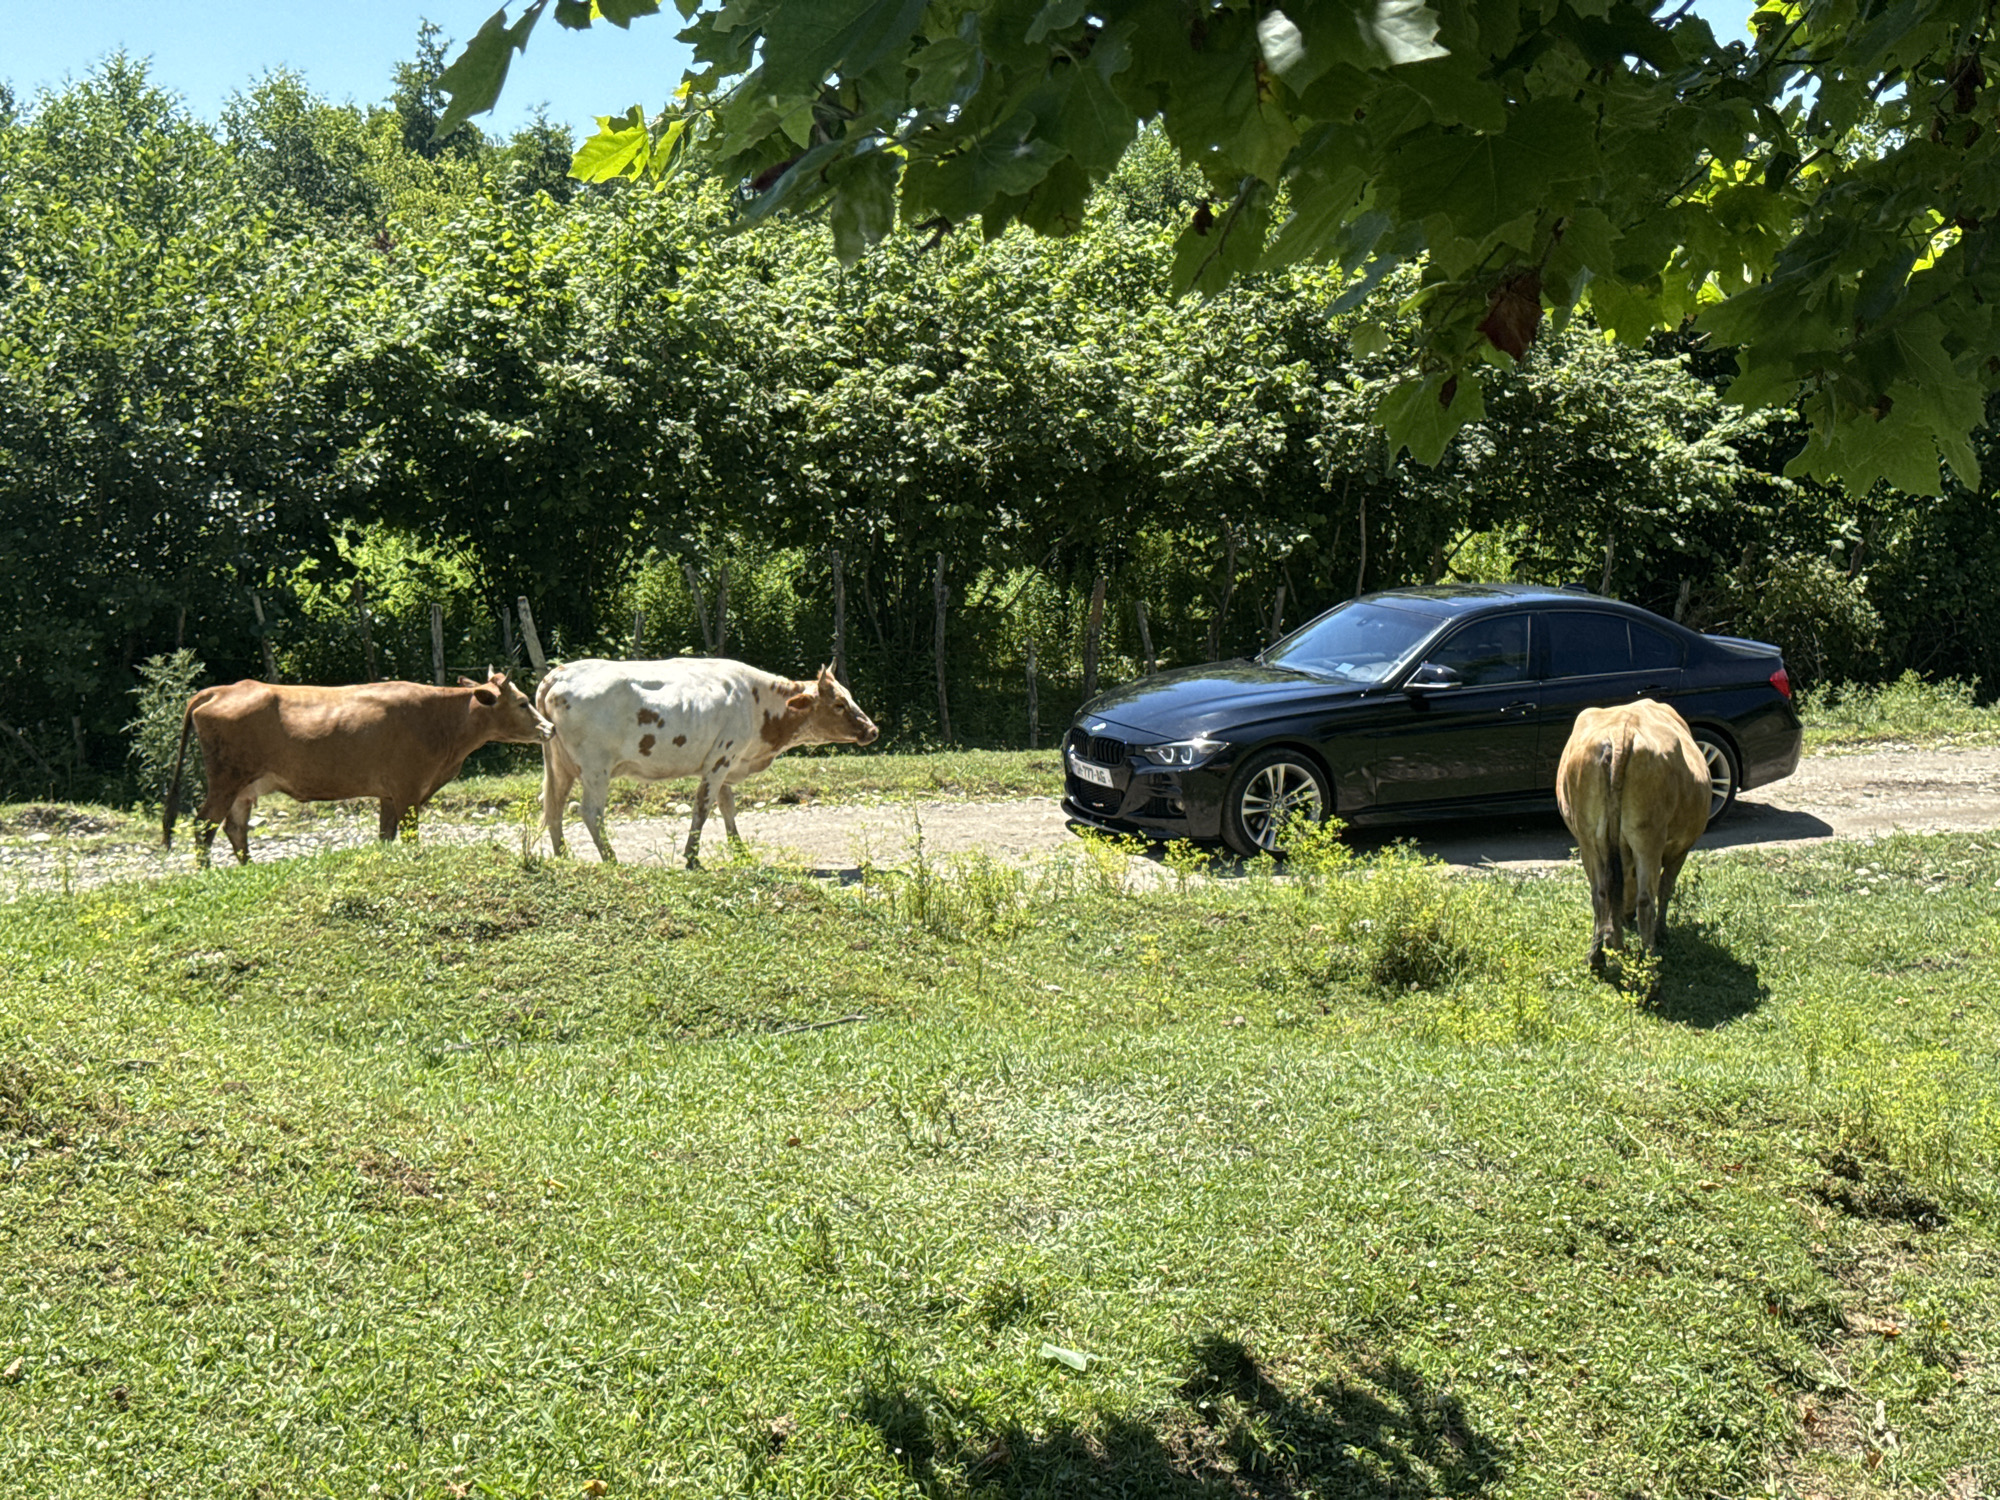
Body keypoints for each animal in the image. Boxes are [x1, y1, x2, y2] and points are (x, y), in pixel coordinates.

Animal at [163, 673, 552, 865]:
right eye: (522, 702)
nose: (548, 728)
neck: (440, 721)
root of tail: (221, 690)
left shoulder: (389, 795)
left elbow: (386, 835)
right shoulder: (408, 789)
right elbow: (409, 835)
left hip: (244, 787)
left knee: (234, 827)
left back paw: (248, 868)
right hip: (225, 780)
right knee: (203, 824)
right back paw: (206, 871)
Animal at [536, 658, 879, 867]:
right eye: (839, 703)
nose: (873, 730)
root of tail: (560, 672)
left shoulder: (727, 763)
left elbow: (727, 806)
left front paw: (740, 851)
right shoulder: (721, 758)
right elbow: (703, 806)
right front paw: (692, 857)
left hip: (560, 765)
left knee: (554, 807)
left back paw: (563, 855)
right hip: (596, 768)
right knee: (590, 812)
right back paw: (611, 859)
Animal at [1556, 699, 1711, 971]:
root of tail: (1622, 732)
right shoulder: (1681, 849)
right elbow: (1666, 888)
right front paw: (1661, 933)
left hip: (1588, 838)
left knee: (1601, 892)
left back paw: (1598, 957)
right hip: (1648, 837)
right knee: (1646, 899)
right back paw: (1650, 963)